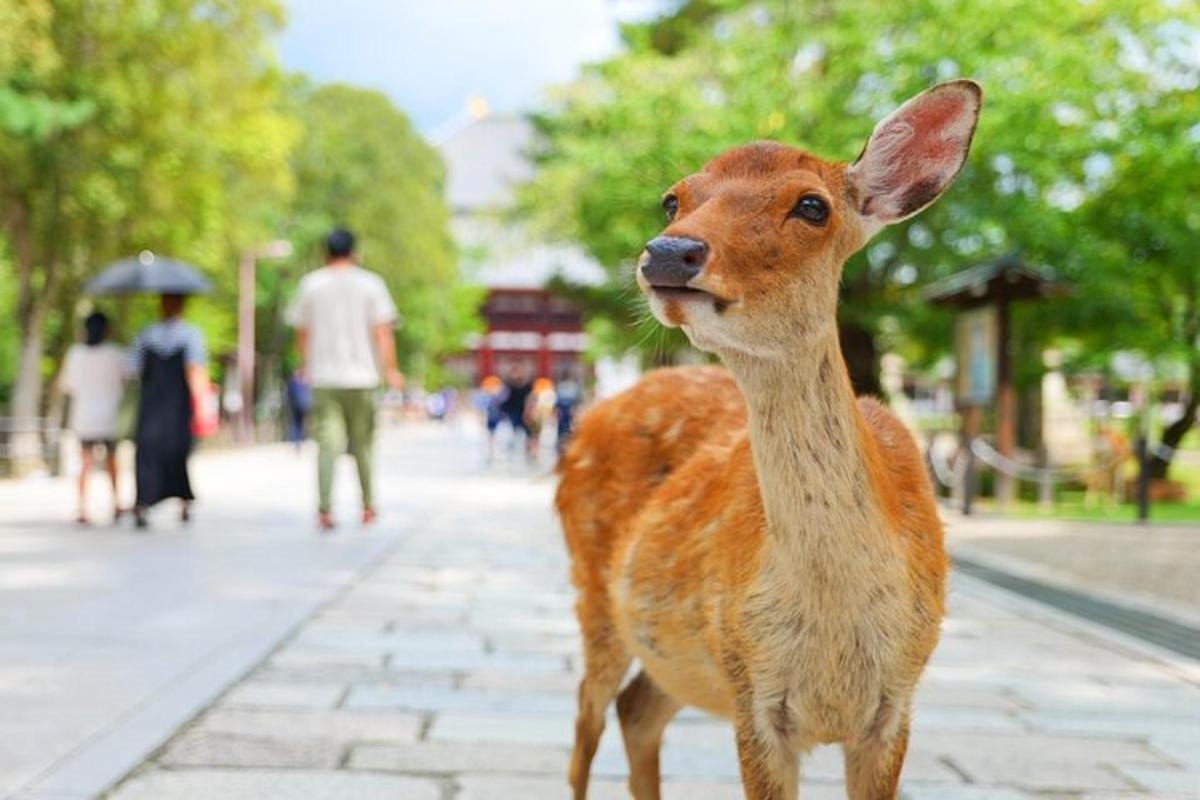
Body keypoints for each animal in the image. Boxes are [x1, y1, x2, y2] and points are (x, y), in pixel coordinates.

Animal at [556, 79, 979, 800]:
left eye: (812, 205)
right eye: (674, 197)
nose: (668, 252)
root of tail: (585, 423)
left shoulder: (895, 703)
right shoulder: (753, 691)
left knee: (636, 710)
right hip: (595, 593)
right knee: (586, 723)